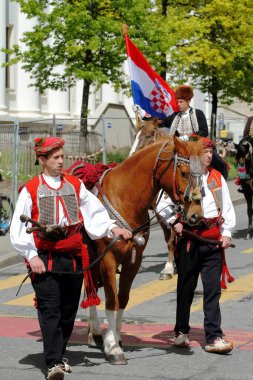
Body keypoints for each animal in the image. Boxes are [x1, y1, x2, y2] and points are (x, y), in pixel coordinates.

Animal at [84, 137, 205, 366]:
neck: (125, 199)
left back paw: (94, 332)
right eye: (185, 173)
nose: (196, 215)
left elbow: (123, 299)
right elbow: (112, 301)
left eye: (201, 174)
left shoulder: (134, 261)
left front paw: (116, 338)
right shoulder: (109, 260)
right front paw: (113, 348)